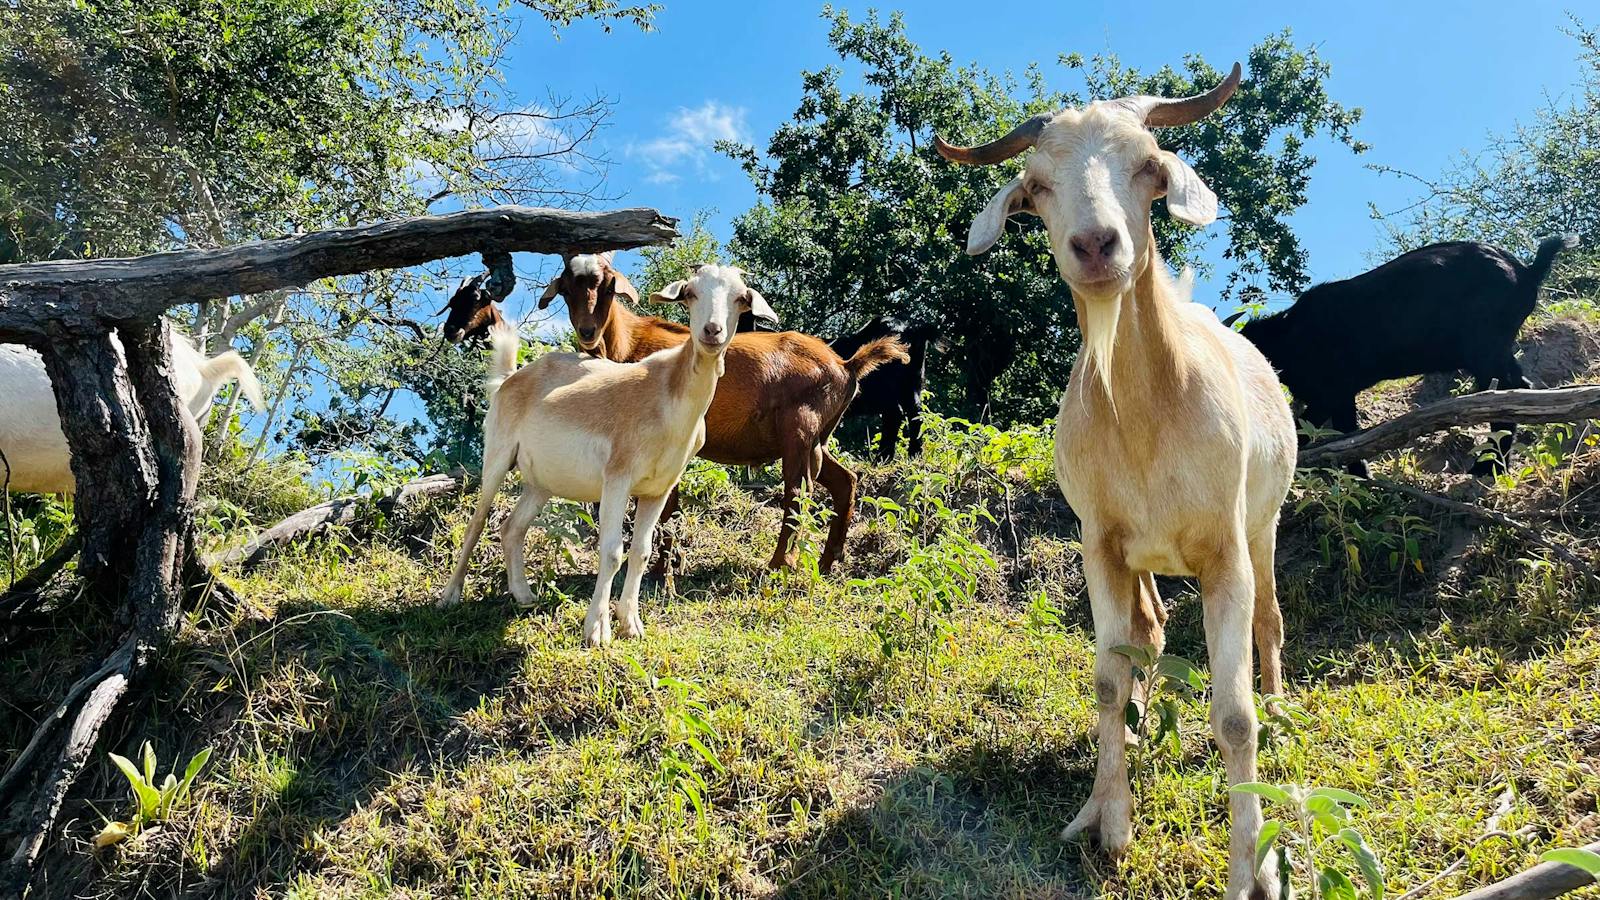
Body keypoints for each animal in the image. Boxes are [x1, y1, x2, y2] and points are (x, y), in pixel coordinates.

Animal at [439, 265, 775, 646]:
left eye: (740, 298)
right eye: (690, 293)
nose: (712, 331)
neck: (668, 395)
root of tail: (511, 379)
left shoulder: (658, 489)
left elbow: (641, 552)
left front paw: (631, 624)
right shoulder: (617, 478)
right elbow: (612, 551)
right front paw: (597, 629)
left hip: (541, 482)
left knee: (512, 527)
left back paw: (524, 595)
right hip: (497, 454)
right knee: (477, 522)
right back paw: (450, 596)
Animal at [536, 253, 907, 574]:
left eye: (609, 287)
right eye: (566, 290)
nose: (588, 332)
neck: (630, 343)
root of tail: (846, 365)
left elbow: (664, 505)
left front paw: (660, 569)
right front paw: (664, 566)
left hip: (800, 430)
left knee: (797, 492)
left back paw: (779, 564)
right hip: (818, 438)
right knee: (845, 481)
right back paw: (828, 562)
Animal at [828, 318, 942, 460]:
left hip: (882, 390)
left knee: (895, 413)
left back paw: (882, 458)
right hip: (911, 384)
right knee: (916, 413)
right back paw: (914, 455)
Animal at [937, 63, 1295, 899]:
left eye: (1147, 165)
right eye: (1037, 185)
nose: (1097, 244)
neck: (1148, 410)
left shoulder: (1224, 547)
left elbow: (1233, 716)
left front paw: (1252, 866)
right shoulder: (1099, 539)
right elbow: (1106, 674)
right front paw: (1107, 819)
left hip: (1263, 523)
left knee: (1269, 622)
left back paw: (1279, 712)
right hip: (1145, 554)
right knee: (1150, 629)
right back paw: (1138, 727)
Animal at [1233, 235, 1580, 474]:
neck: (1288, 337)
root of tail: (1526, 271)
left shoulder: (1328, 393)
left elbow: (1308, 432)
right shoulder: (1337, 396)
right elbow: (1344, 434)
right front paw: (1358, 478)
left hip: (1485, 349)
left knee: (1501, 396)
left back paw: (1488, 467)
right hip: (1500, 348)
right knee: (1520, 387)